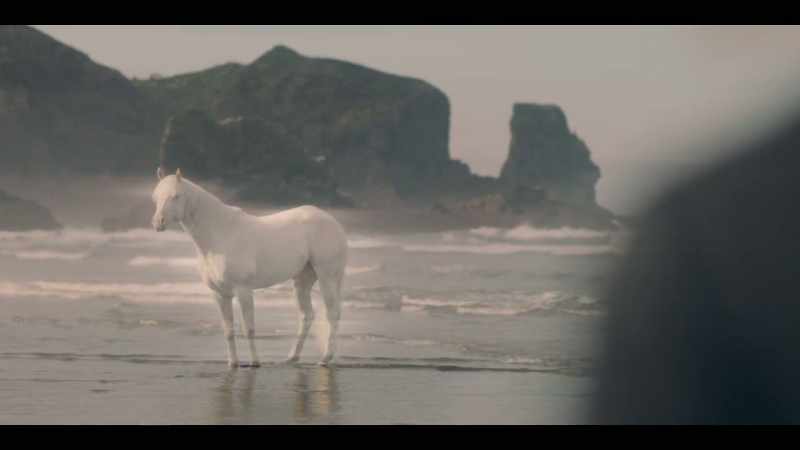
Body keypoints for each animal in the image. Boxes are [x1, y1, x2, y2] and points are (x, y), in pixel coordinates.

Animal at [151, 167, 348, 368]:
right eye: (155, 196)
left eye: (176, 196)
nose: (158, 222)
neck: (220, 233)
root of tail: (332, 221)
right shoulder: (220, 294)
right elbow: (228, 331)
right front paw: (233, 363)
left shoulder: (243, 290)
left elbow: (249, 329)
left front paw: (255, 362)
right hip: (302, 281)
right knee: (306, 316)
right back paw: (292, 357)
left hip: (327, 276)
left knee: (333, 313)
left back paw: (325, 359)